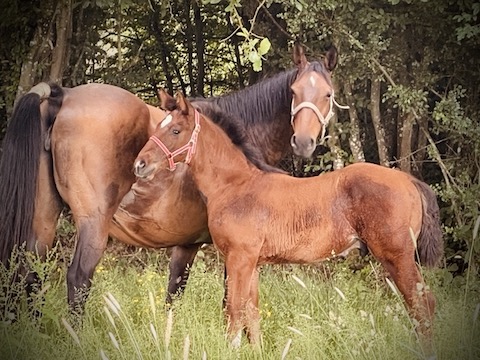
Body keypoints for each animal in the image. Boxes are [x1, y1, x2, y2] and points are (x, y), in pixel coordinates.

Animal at [0, 44, 344, 310]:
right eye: (294, 91)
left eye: (328, 94)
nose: (303, 141)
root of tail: (64, 95)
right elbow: (231, 299)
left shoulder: (186, 245)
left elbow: (174, 296)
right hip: (93, 224)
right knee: (78, 279)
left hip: (43, 221)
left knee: (28, 275)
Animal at [133, 92, 444, 354]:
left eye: (175, 130)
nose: (139, 164)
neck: (235, 185)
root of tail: (409, 180)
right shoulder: (251, 262)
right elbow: (252, 313)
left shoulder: (238, 258)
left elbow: (234, 310)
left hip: (397, 256)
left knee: (422, 304)